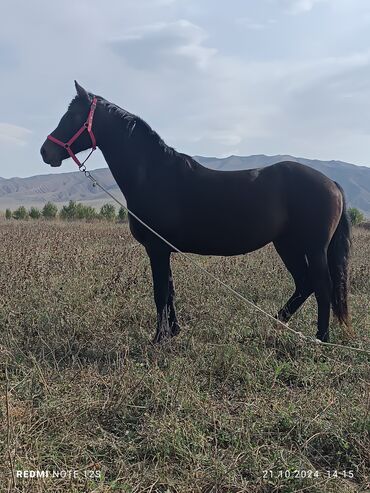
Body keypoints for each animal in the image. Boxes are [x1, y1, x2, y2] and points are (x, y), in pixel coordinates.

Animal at [40, 80, 352, 342]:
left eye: (72, 116)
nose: (45, 152)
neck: (154, 175)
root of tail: (332, 183)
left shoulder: (156, 248)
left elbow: (160, 292)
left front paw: (158, 339)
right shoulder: (162, 249)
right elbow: (170, 291)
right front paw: (173, 332)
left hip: (313, 247)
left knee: (321, 286)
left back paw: (321, 338)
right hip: (287, 245)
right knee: (304, 284)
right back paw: (275, 324)